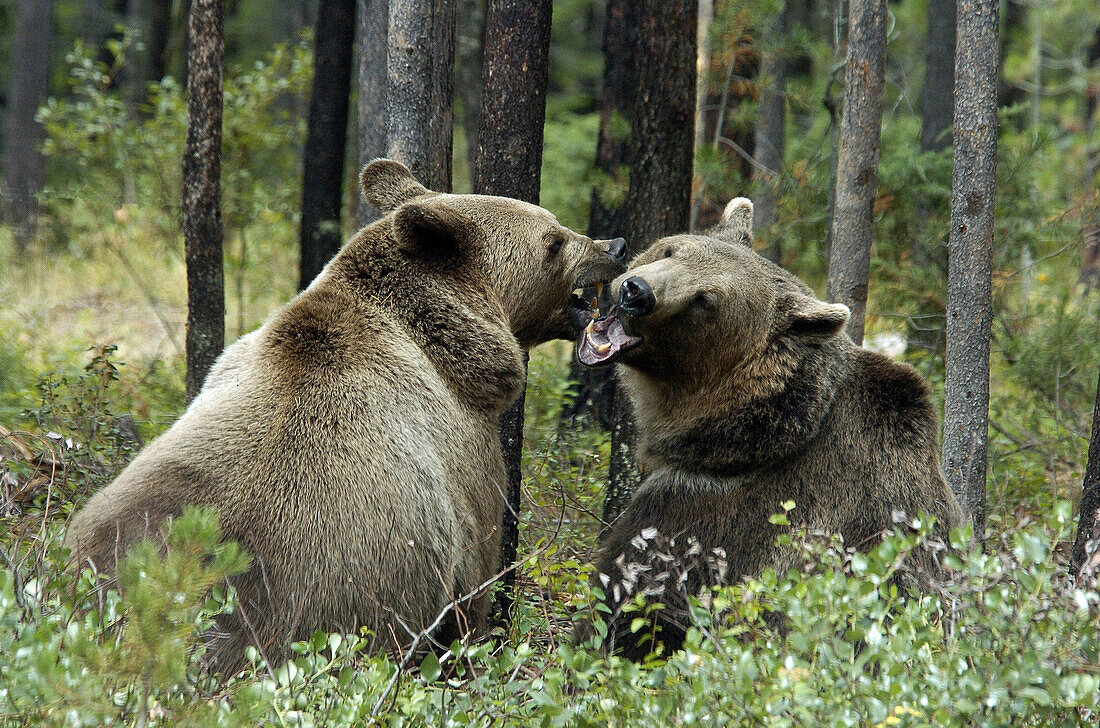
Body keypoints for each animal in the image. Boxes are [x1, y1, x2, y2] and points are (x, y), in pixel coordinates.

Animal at [66, 158, 629, 673]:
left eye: (557, 226)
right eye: (553, 239)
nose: (615, 247)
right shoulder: (466, 461)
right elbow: (477, 576)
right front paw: (478, 644)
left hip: (102, 535)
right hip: (324, 593)